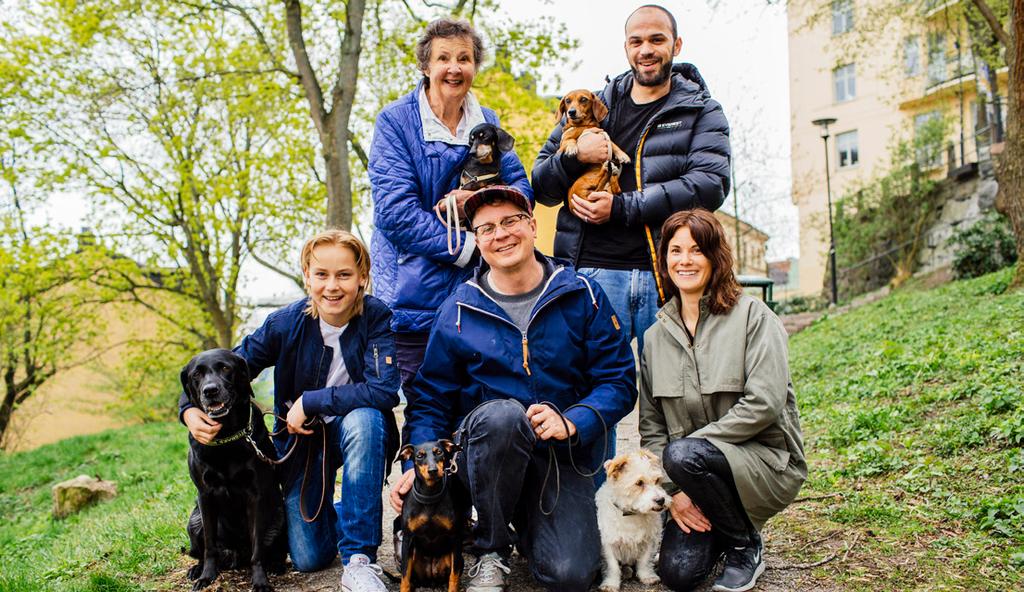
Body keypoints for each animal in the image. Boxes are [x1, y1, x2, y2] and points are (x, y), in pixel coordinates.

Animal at [181, 348, 288, 585]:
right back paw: (197, 569)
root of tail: (237, 554)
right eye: (196, 375)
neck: (226, 436)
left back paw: (276, 566)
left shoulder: (255, 495)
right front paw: (206, 576)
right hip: (194, 520)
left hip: (280, 516)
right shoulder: (205, 495)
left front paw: (260, 581)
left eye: (225, 368)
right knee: (203, 549)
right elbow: (209, 546)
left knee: (271, 551)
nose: (210, 390)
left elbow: (258, 549)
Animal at [397, 438, 468, 589]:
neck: (430, 495)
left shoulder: (455, 539)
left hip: (458, 558)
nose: (433, 470)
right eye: (419, 455)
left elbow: (454, 576)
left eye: (439, 452)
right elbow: (405, 577)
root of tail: (430, 580)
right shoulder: (407, 539)